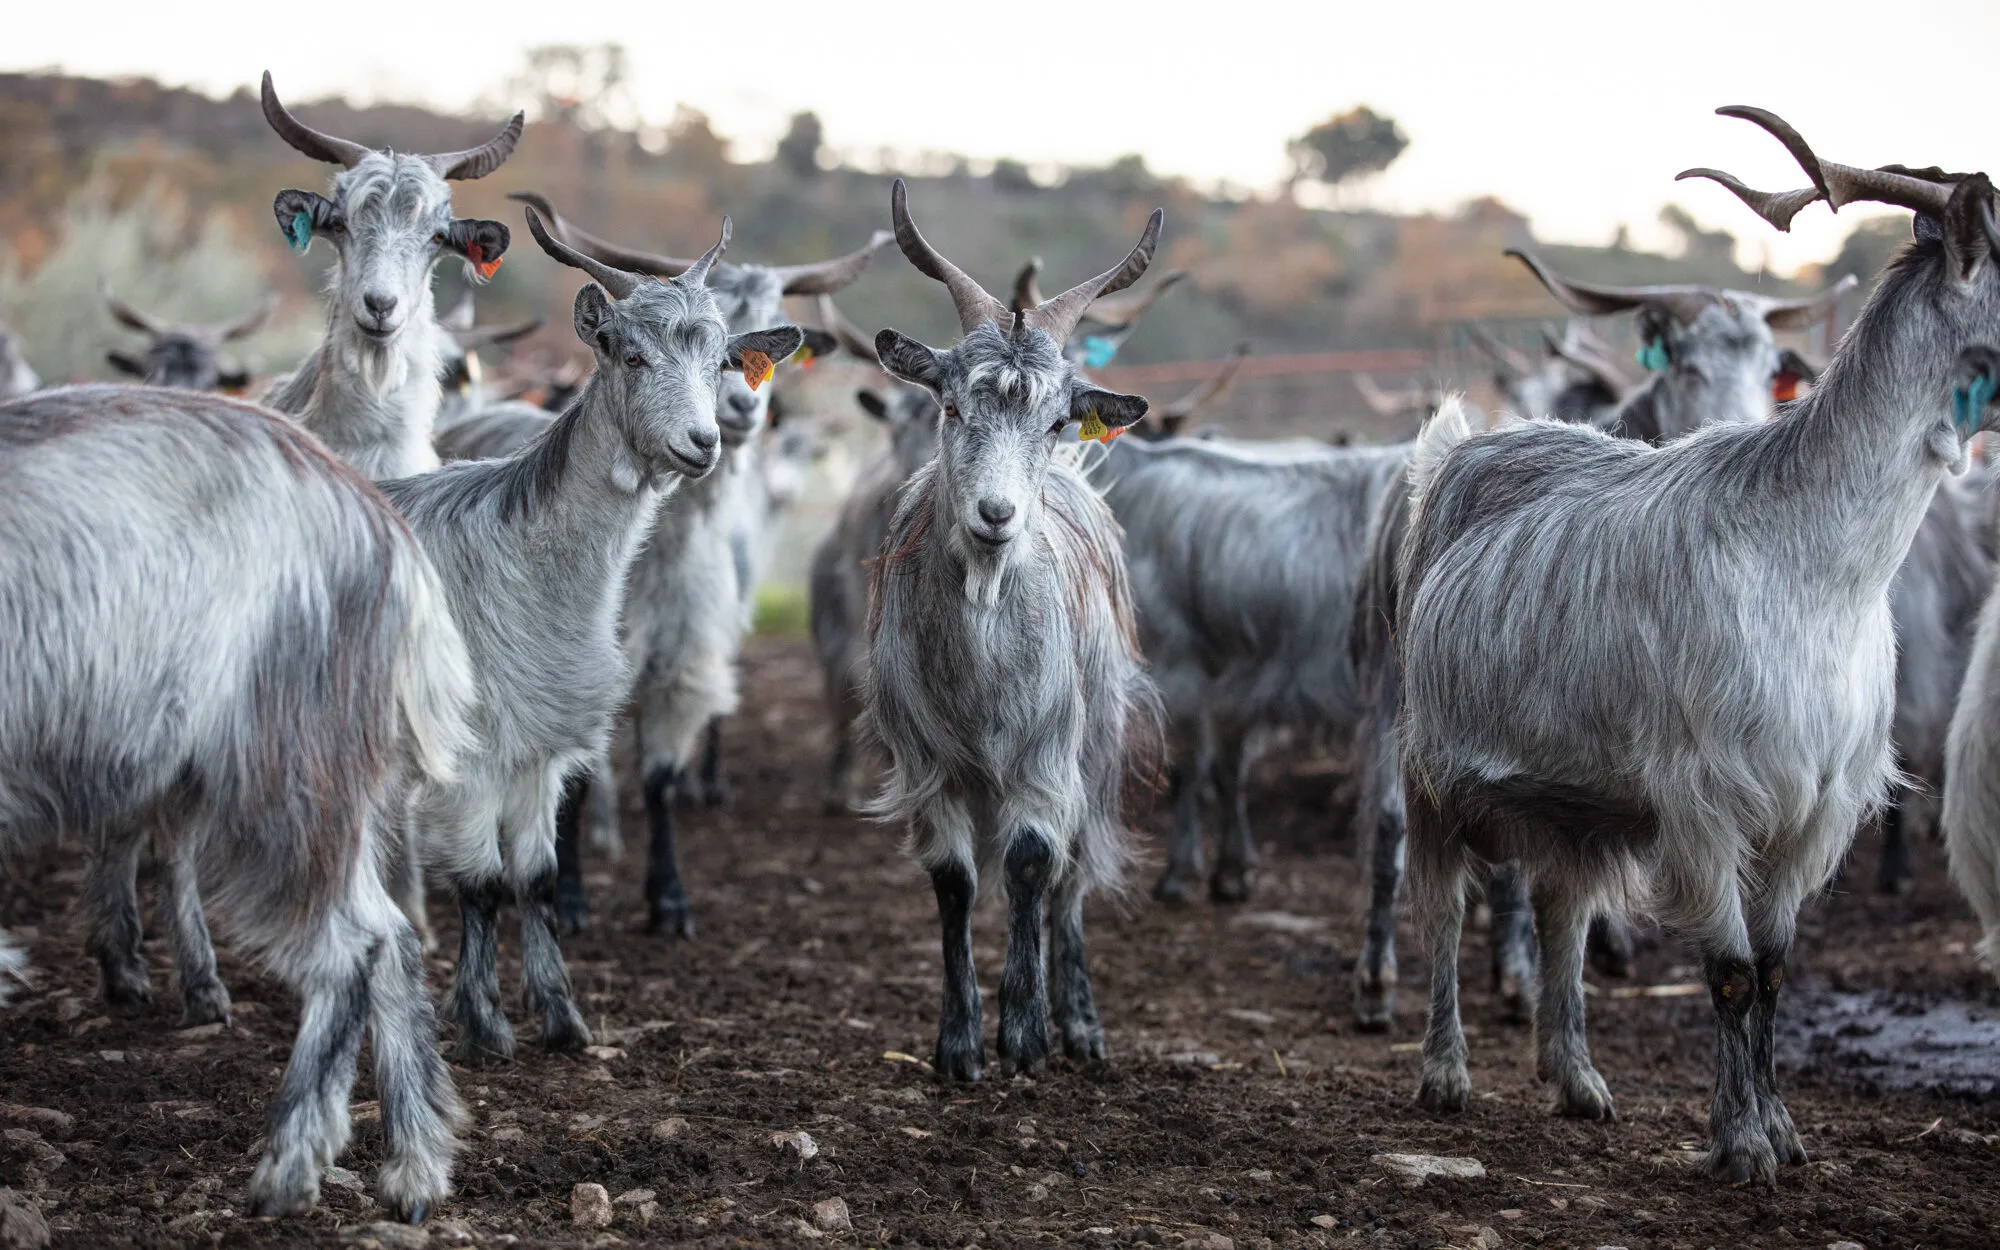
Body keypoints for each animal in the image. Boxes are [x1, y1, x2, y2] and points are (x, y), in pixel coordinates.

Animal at [0, 384, 474, 1222]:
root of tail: (383, 532)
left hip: (274, 776)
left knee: (351, 948)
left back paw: (289, 1166)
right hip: (317, 783)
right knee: (393, 939)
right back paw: (415, 1168)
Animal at [511, 192, 883, 935]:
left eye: (731, 357)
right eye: (631, 356)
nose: (728, 418)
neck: (653, 562)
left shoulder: (684, 660)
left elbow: (658, 777)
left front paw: (670, 899)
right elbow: (572, 780)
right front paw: (569, 901)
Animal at [864, 181, 1162, 1078]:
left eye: (1058, 422)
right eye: (951, 402)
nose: (996, 514)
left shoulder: (1047, 750)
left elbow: (1035, 865)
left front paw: (1026, 1035)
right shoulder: (925, 762)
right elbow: (955, 879)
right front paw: (960, 1044)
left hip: (1097, 742)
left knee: (1072, 874)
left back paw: (1081, 1025)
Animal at [1396, 107, 2000, 1186]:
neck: (1812, 570)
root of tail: (1458, 448)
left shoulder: (1816, 808)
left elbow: (1774, 967)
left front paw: (1779, 1130)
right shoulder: (1702, 797)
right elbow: (1726, 973)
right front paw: (1742, 1145)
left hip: (1574, 803)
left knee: (1562, 906)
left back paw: (1576, 1078)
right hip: (1429, 767)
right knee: (1443, 905)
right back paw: (1445, 1073)